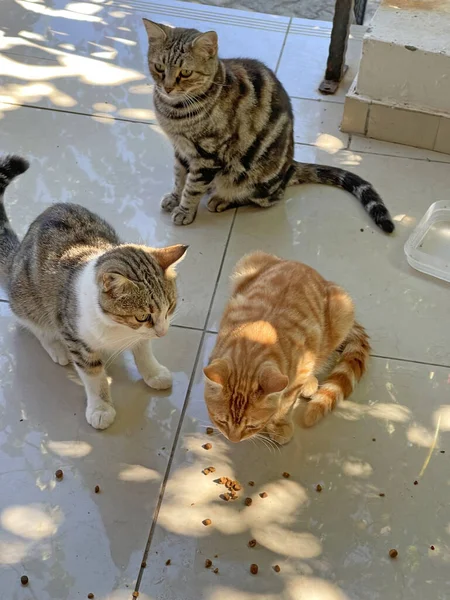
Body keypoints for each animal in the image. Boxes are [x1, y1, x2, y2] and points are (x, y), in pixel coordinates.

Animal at [0, 152, 187, 428]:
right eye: (142, 316)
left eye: (171, 307)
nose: (162, 333)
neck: (117, 329)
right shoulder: (76, 337)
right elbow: (93, 376)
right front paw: (100, 408)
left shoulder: (140, 336)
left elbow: (143, 350)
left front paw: (153, 372)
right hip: (27, 300)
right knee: (35, 325)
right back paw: (56, 348)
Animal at [144, 19, 394, 233]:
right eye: (159, 67)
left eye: (185, 72)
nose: (167, 87)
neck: (175, 112)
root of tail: (290, 166)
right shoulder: (181, 149)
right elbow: (180, 176)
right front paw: (174, 197)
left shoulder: (207, 156)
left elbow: (193, 186)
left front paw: (185, 210)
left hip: (250, 179)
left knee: (265, 198)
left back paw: (221, 200)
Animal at [203, 251, 370, 442]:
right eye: (222, 421)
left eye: (251, 426)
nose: (233, 440)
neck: (256, 339)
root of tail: (305, 266)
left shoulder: (303, 365)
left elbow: (287, 402)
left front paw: (279, 423)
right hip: (247, 263)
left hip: (342, 311)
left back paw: (310, 382)